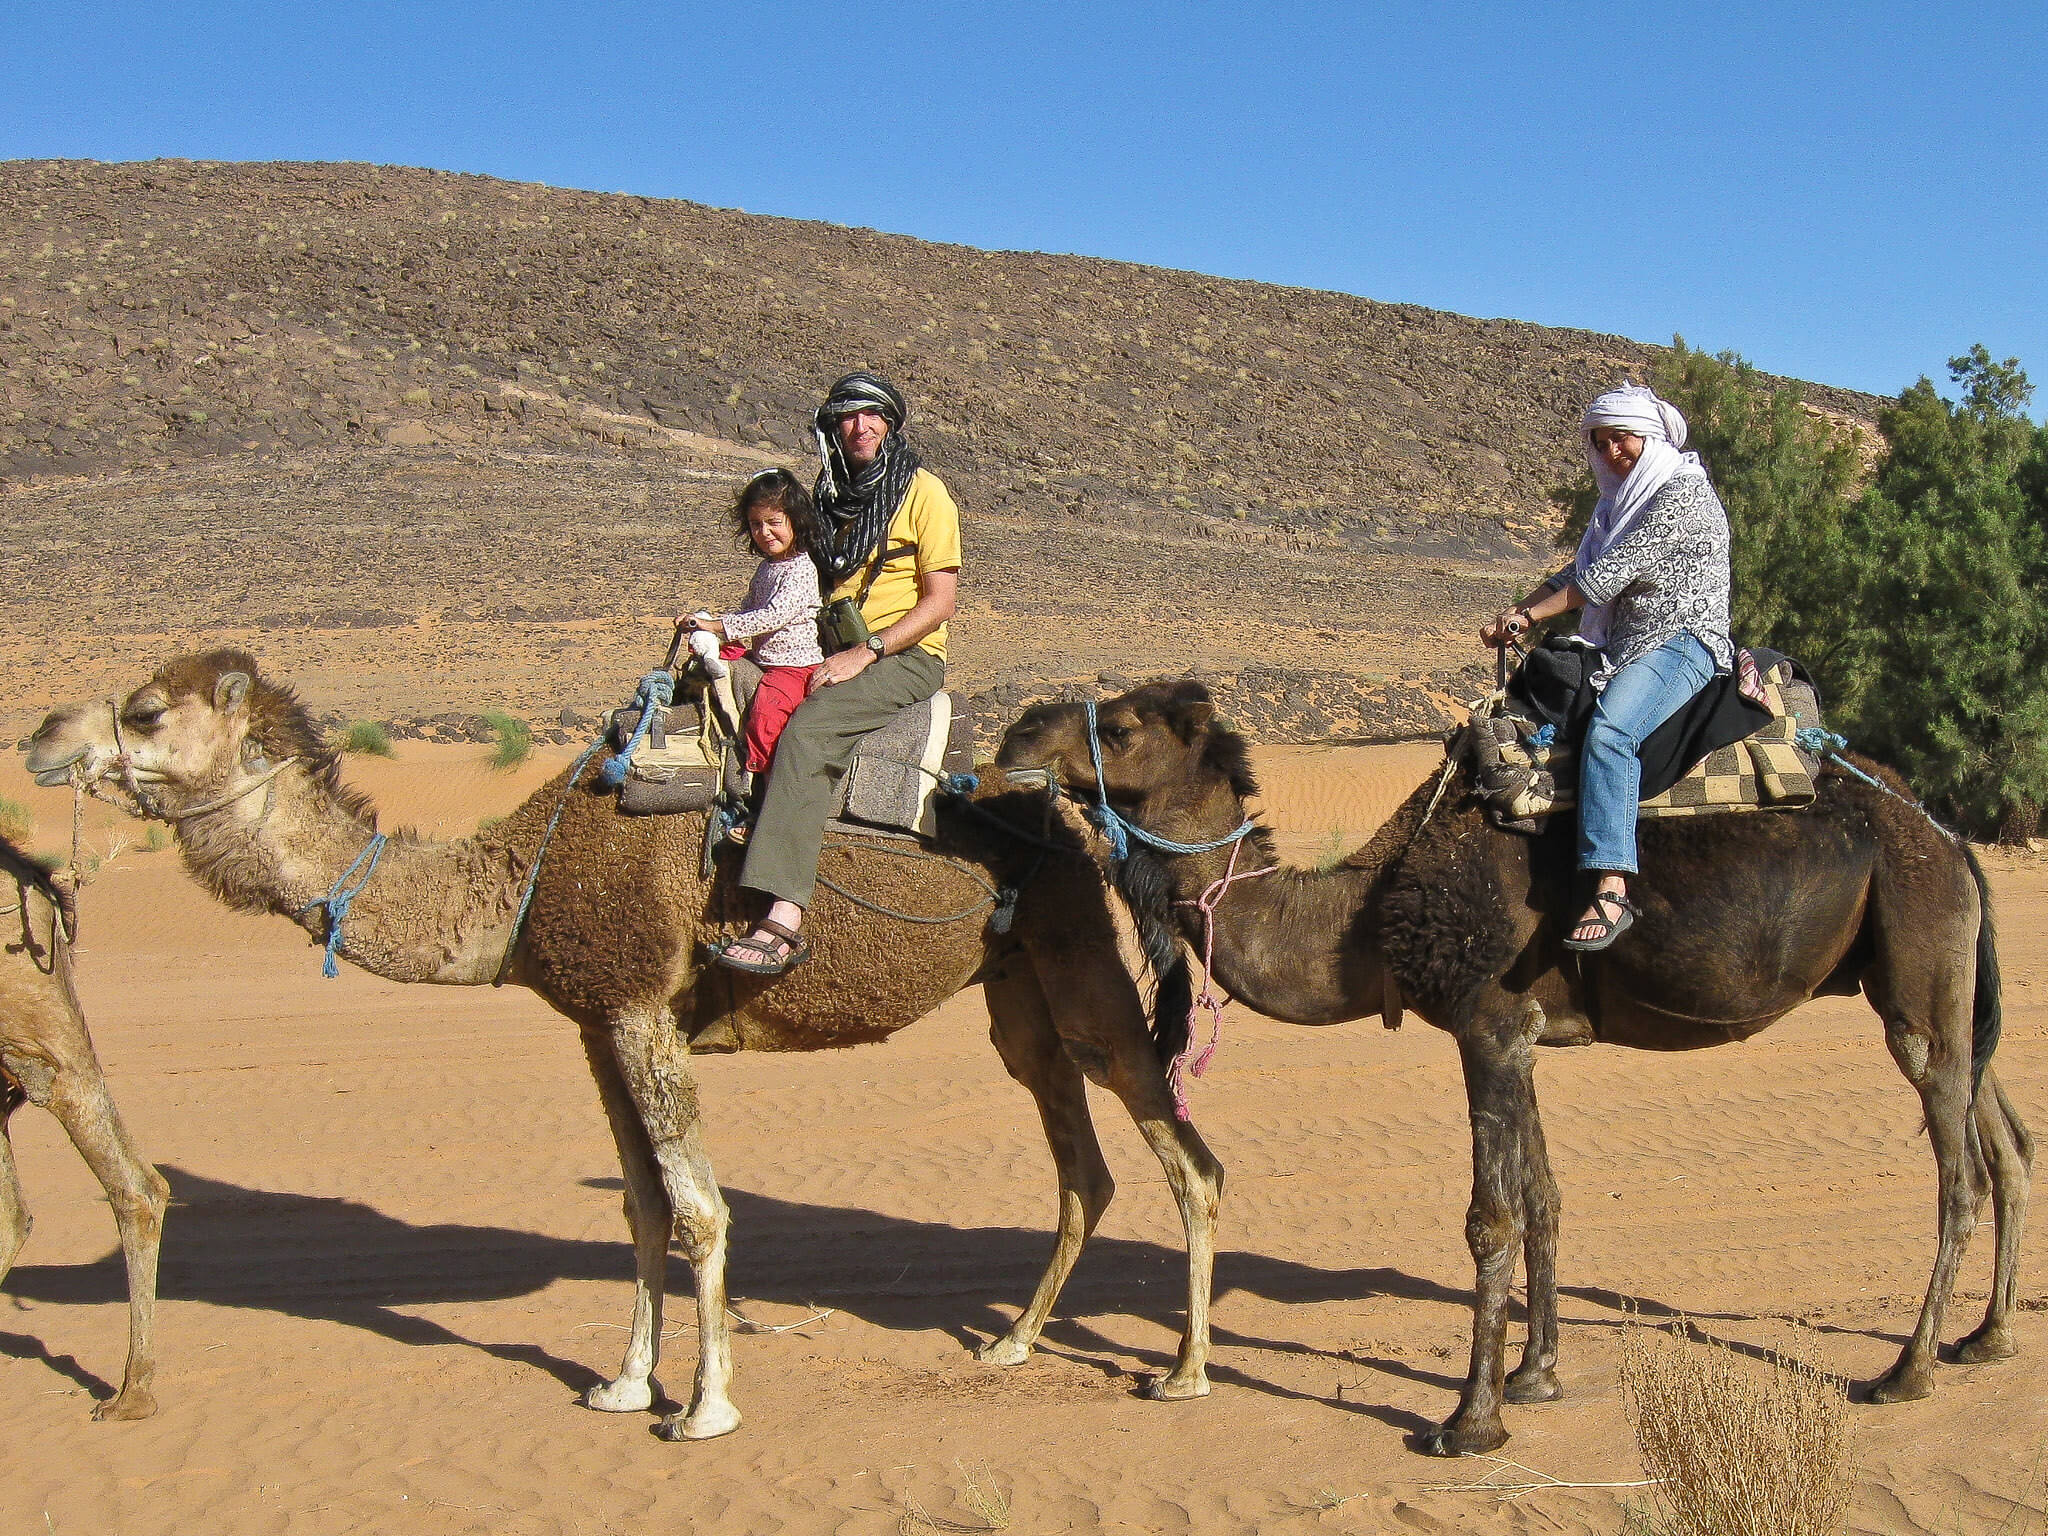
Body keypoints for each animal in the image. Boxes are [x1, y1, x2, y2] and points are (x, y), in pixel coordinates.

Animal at [24, 651, 1220, 1441]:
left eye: (143, 711)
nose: (40, 735)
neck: (519, 878)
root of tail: (1076, 818)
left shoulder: (643, 1008)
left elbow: (700, 1209)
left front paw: (705, 1406)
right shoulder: (597, 1024)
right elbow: (641, 1207)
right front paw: (622, 1383)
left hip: (1078, 957)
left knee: (1184, 1156)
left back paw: (1185, 1374)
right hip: (1017, 991)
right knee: (1083, 1162)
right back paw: (1012, 1341)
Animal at [995, 679, 2031, 1458]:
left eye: (1120, 727)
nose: (1014, 733)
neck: (1368, 911)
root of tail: (1951, 838)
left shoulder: (1486, 1024)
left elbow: (1488, 1217)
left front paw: (1469, 1421)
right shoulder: (1523, 1033)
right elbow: (1543, 1195)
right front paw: (1536, 1377)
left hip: (1917, 943)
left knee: (1960, 1169)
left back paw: (1906, 1371)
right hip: (1930, 974)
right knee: (2005, 1134)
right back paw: (1988, 1338)